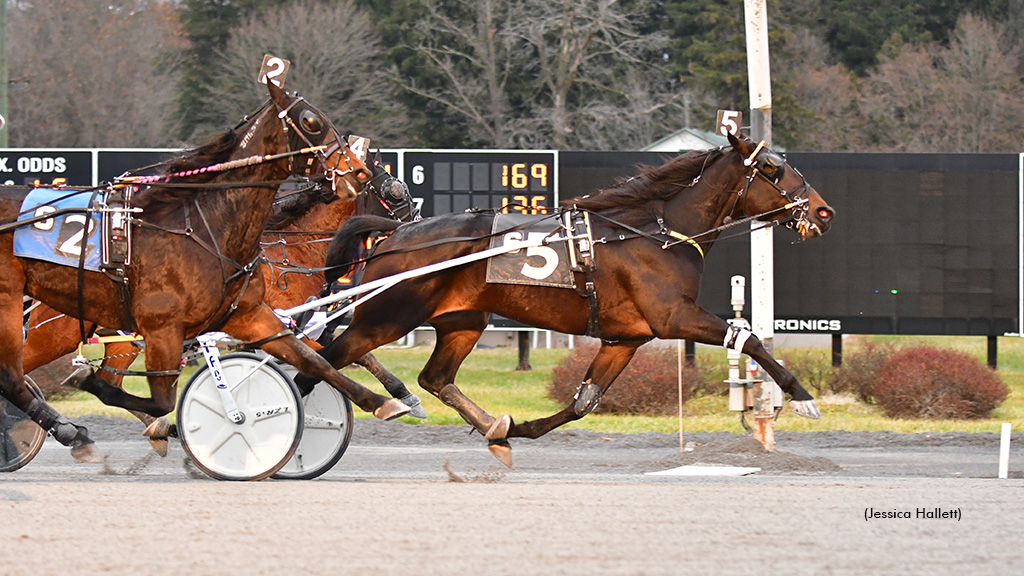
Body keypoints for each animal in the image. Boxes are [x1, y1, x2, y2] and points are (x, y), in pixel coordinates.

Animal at [4, 80, 411, 459]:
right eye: (396, 193)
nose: (412, 223)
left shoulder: (260, 320)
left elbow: (327, 358)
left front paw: (394, 397)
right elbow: (335, 355)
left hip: (119, 339)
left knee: (103, 381)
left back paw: (153, 429)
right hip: (62, 333)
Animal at [299, 131, 835, 467]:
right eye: (772, 167)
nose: (823, 211)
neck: (658, 233)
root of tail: (393, 235)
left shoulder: (625, 338)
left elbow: (583, 403)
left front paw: (515, 429)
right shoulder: (674, 317)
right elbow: (749, 339)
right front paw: (803, 397)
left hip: (463, 320)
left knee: (434, 378)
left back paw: (490, 425)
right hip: (386, 318)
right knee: (319, 362)